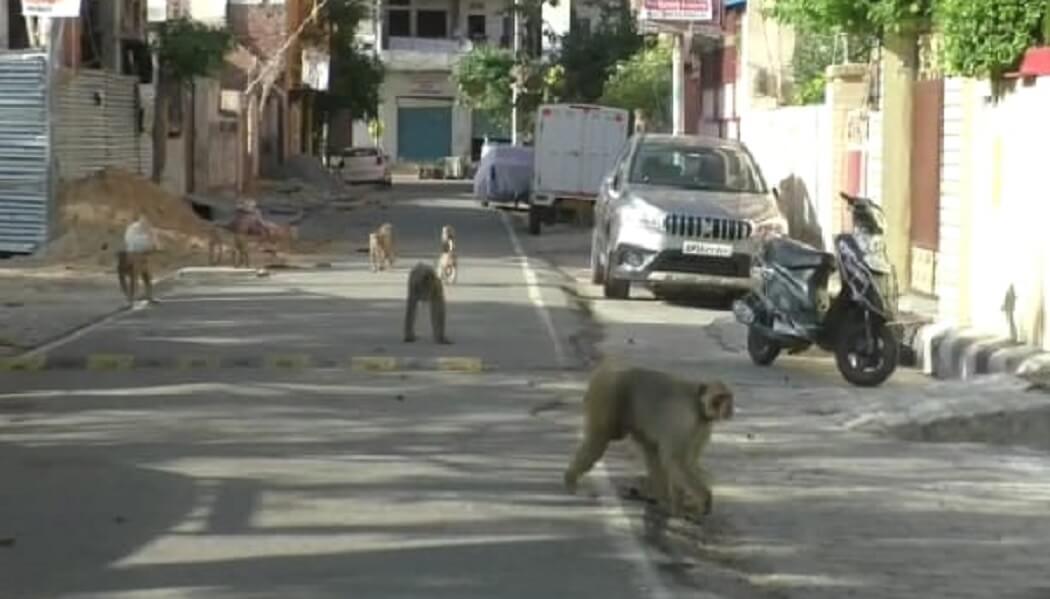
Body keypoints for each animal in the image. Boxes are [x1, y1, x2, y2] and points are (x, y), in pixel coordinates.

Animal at [562, 357, 734, 514]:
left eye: (728, 398)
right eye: (719, 398)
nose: (727, 409)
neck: (698, 404)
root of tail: (604, 369)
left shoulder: (702, 425)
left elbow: (687, 461)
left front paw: (679, 504)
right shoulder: (684, 417)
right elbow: (676, 459)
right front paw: (703, 499)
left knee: (650, 448)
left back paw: (661, 499)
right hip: (608, 393)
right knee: (600, 440)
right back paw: (570, 480)